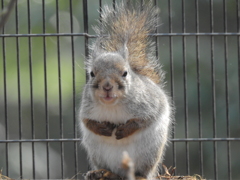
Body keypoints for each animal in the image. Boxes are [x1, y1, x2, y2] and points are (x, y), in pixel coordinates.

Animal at [79, 0, 173, 179]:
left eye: (125, 73)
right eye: (92, 73)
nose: (107, 86)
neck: (112, 105)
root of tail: (121, 172)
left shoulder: (149, 103)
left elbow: (147, 119)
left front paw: (126, 129)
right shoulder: (86, 108)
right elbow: (86, 122)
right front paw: (102, 128)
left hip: (148, 153)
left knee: (143, 171)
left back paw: (138, 175)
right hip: (97, 153)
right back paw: (99, 172)